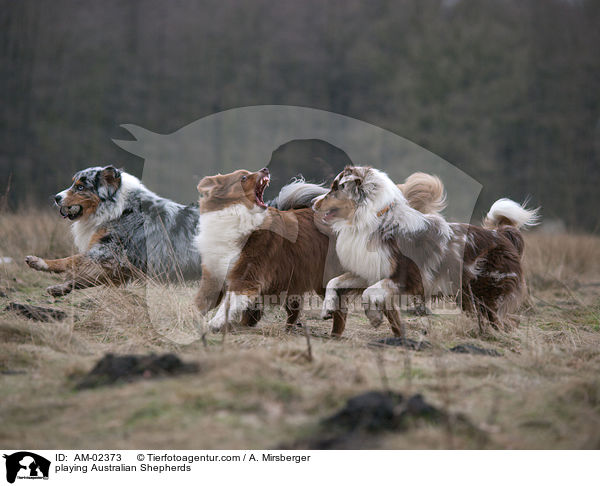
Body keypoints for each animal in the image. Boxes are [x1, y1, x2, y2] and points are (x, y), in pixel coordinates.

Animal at [193, 167, 446, 334]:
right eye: (243, 177)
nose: (265, 168)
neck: (238, 219)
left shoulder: (248, 274)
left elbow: (230, 300)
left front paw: (215, 323)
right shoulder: (215, 271)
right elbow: (207, 299)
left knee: (342, 309)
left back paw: (336, 334)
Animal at [314, 166, 540, 334]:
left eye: (336, 188)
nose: (314, 203)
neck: (375, 219)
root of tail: (502, 234)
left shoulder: (409, 277)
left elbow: (369, 292)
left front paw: (374, 316)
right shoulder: (370, 270)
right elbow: (334, 282)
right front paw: (327, 308)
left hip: (489, 291)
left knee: (501, 319)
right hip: (469, 295)